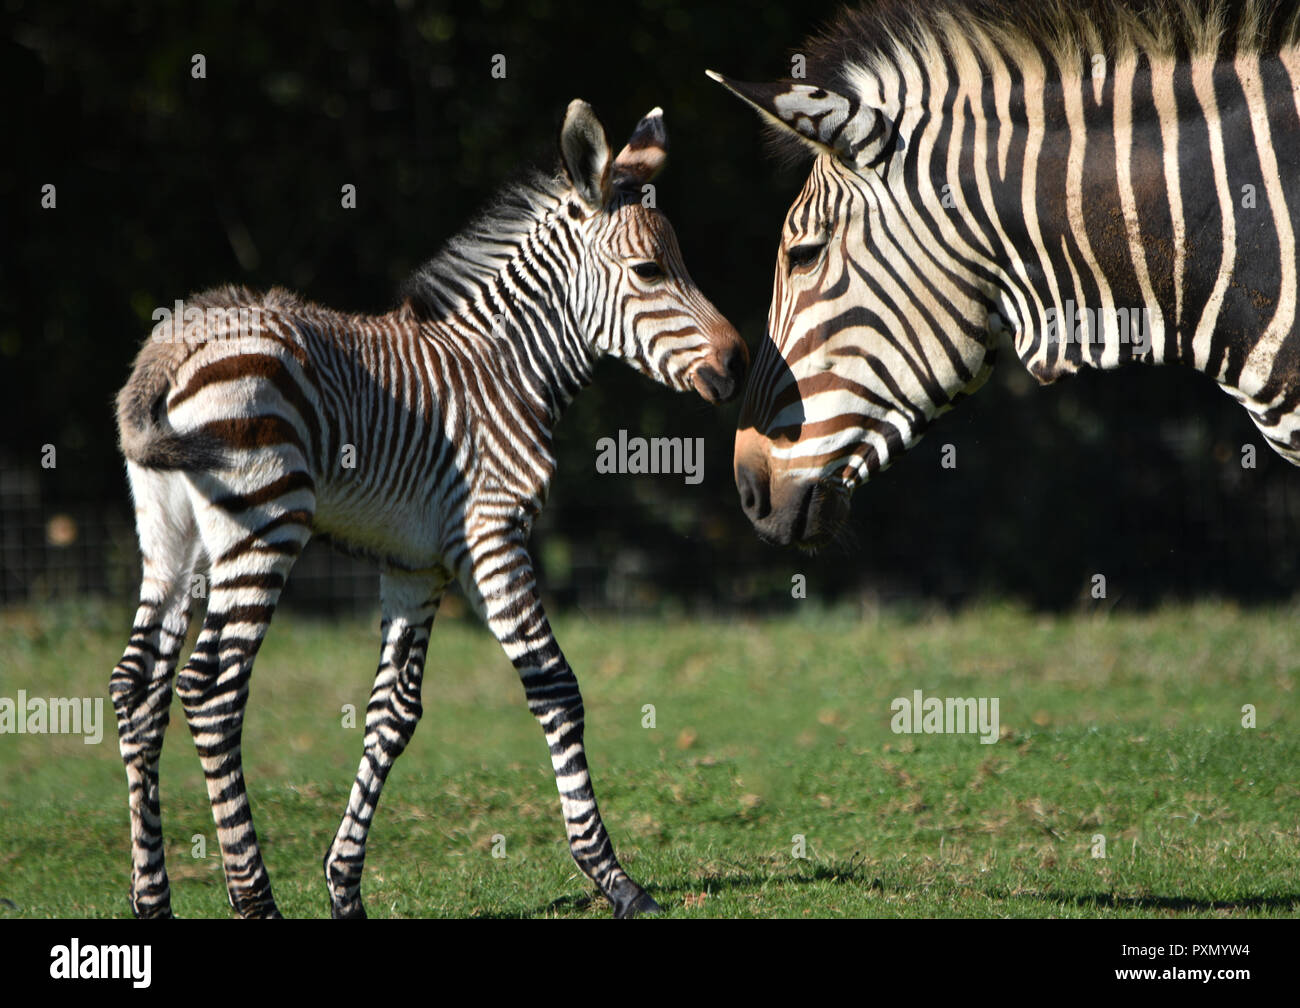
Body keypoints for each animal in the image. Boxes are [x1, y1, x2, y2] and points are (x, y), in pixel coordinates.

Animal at [111, 98, 748, 920]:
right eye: (648, 271)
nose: (738, 363)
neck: (505, 367)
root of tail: (172, 343)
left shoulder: (417, 566)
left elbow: (393, 716)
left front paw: (345, 886)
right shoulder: (492, 535)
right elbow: (554, 684)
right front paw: (614, 879)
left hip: (173, 540)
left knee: (139, 689)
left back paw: (152, 898)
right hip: (264, 523)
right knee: (211, 690)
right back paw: (254, 899)